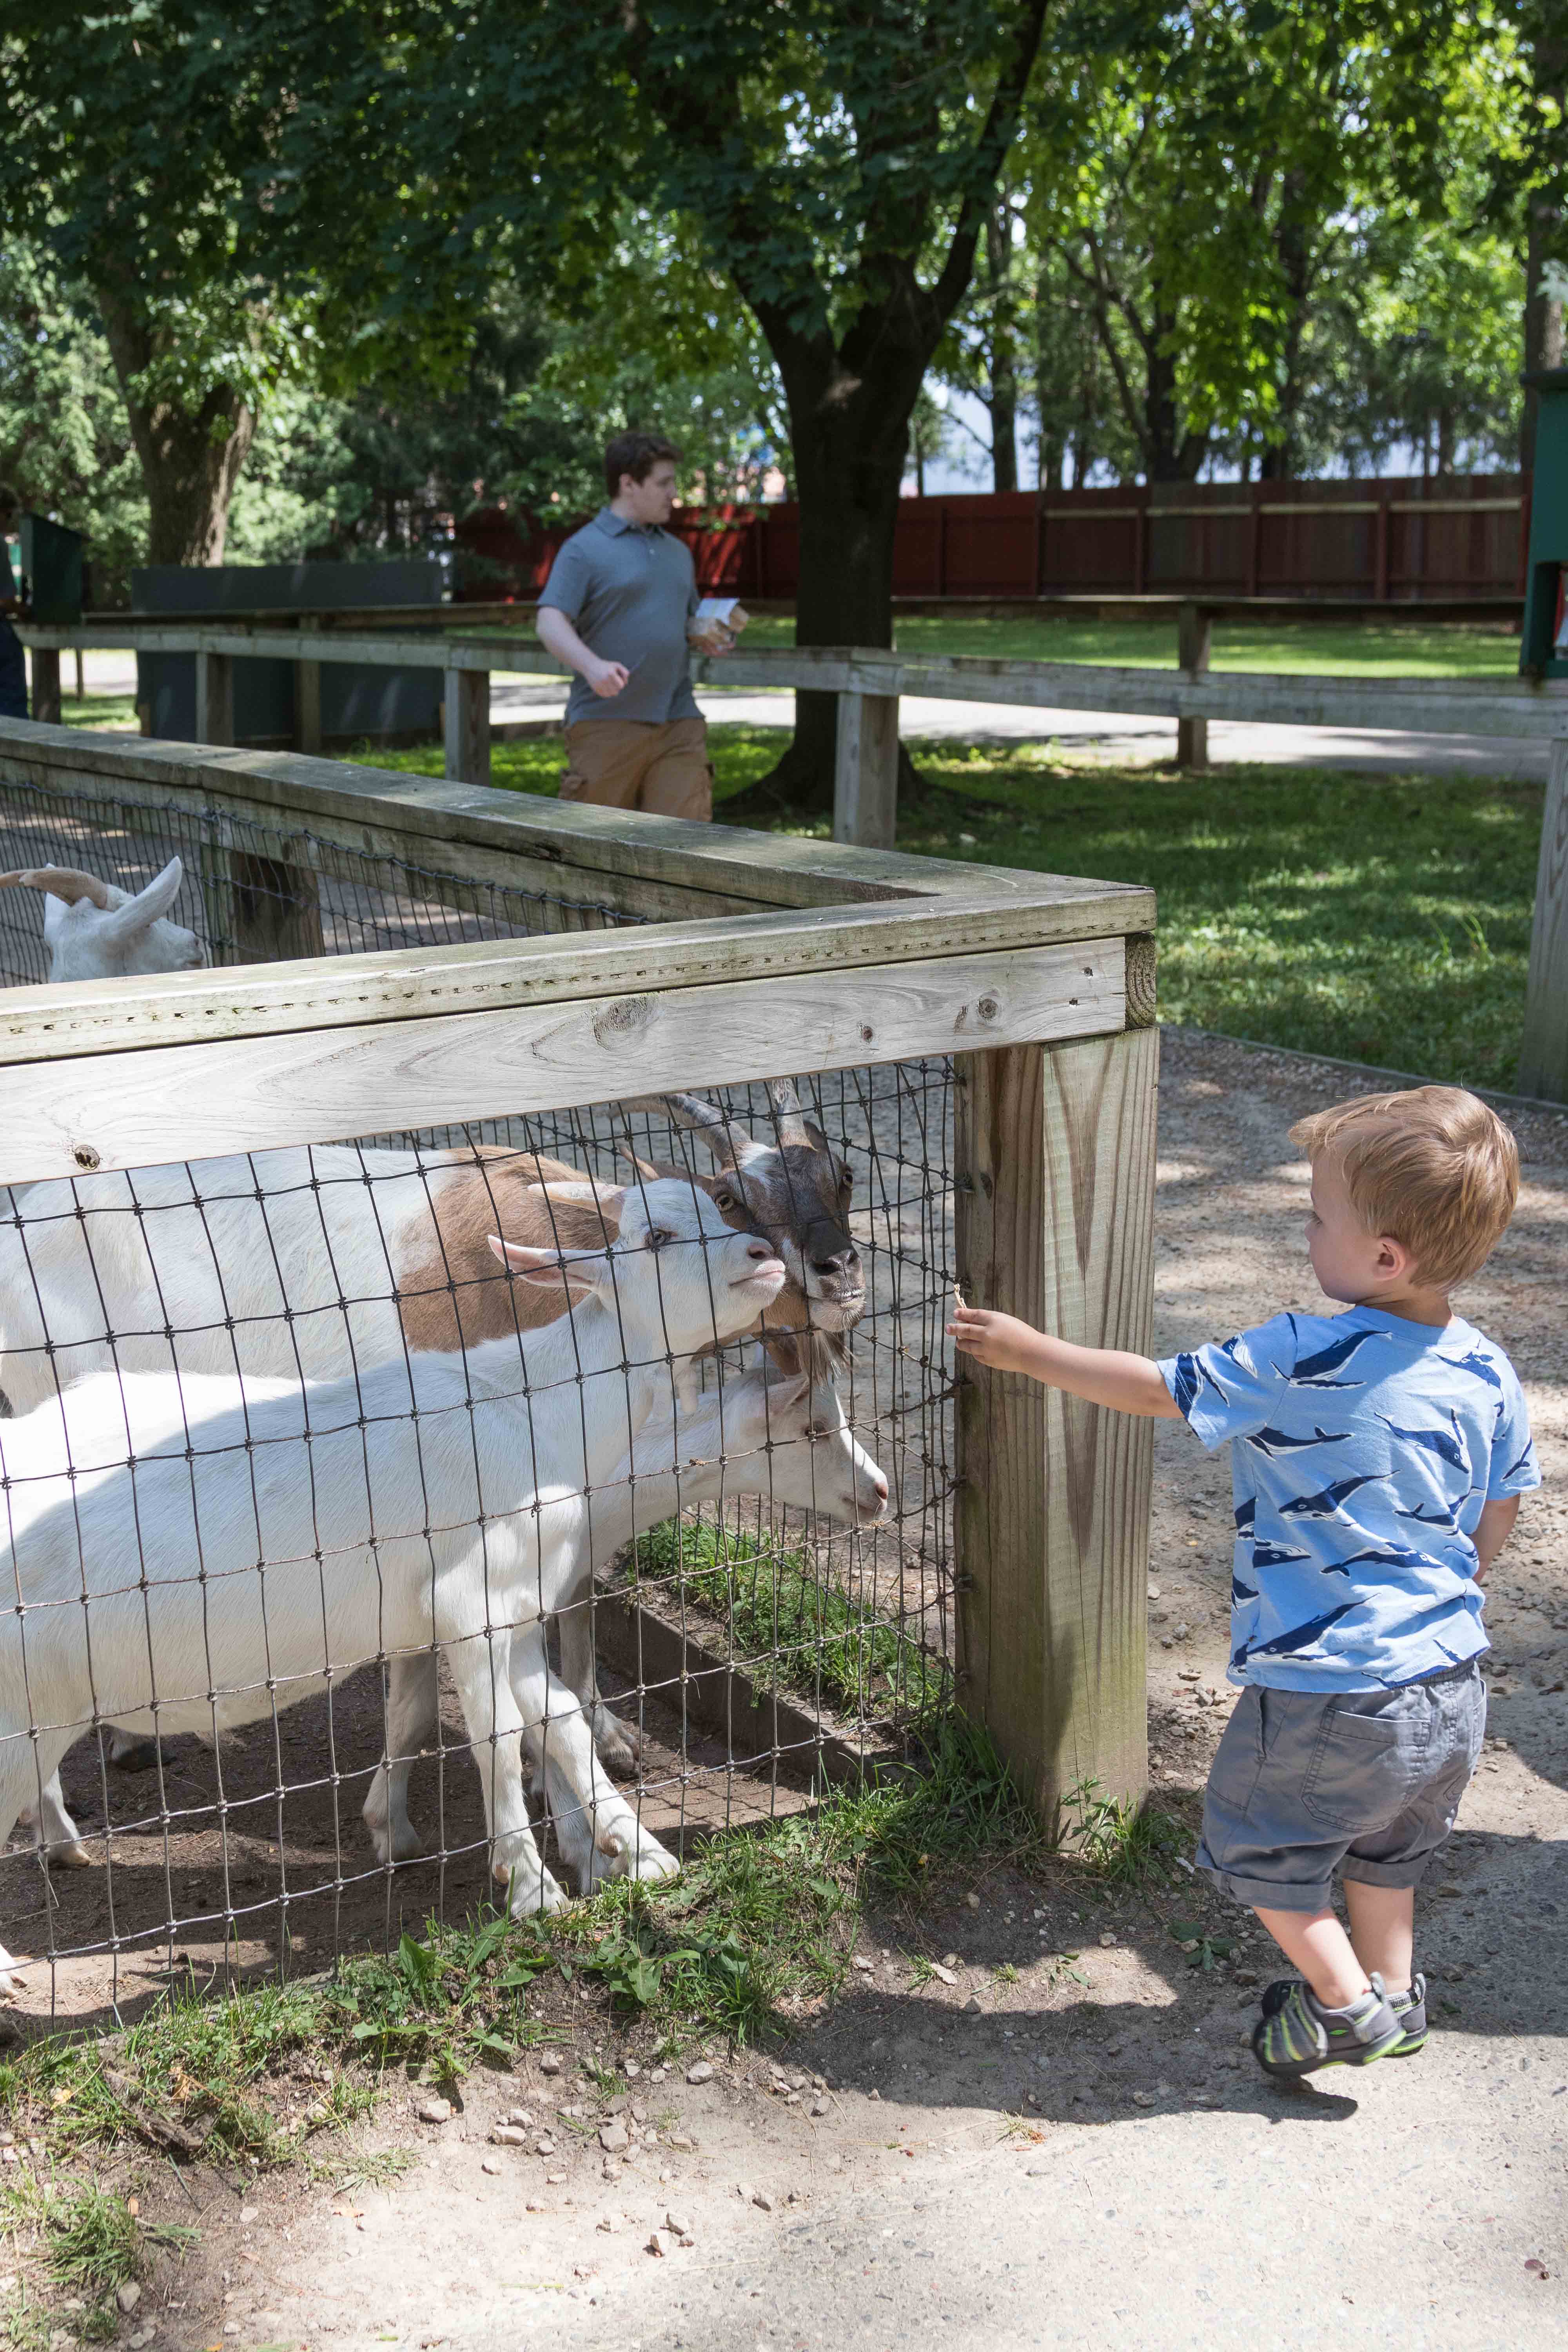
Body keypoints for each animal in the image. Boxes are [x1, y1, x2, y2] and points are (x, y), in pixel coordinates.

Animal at [0, 1176, 785, 1985]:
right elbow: (500, 1736)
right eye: (658, 1236)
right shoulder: (470, 1604)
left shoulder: (515, 1613)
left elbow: (562, 1721)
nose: (768, 1255)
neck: (533, 1410)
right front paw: (532, 1889)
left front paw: (641, 1854)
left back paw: (60, 1843)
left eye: (720, 1209)